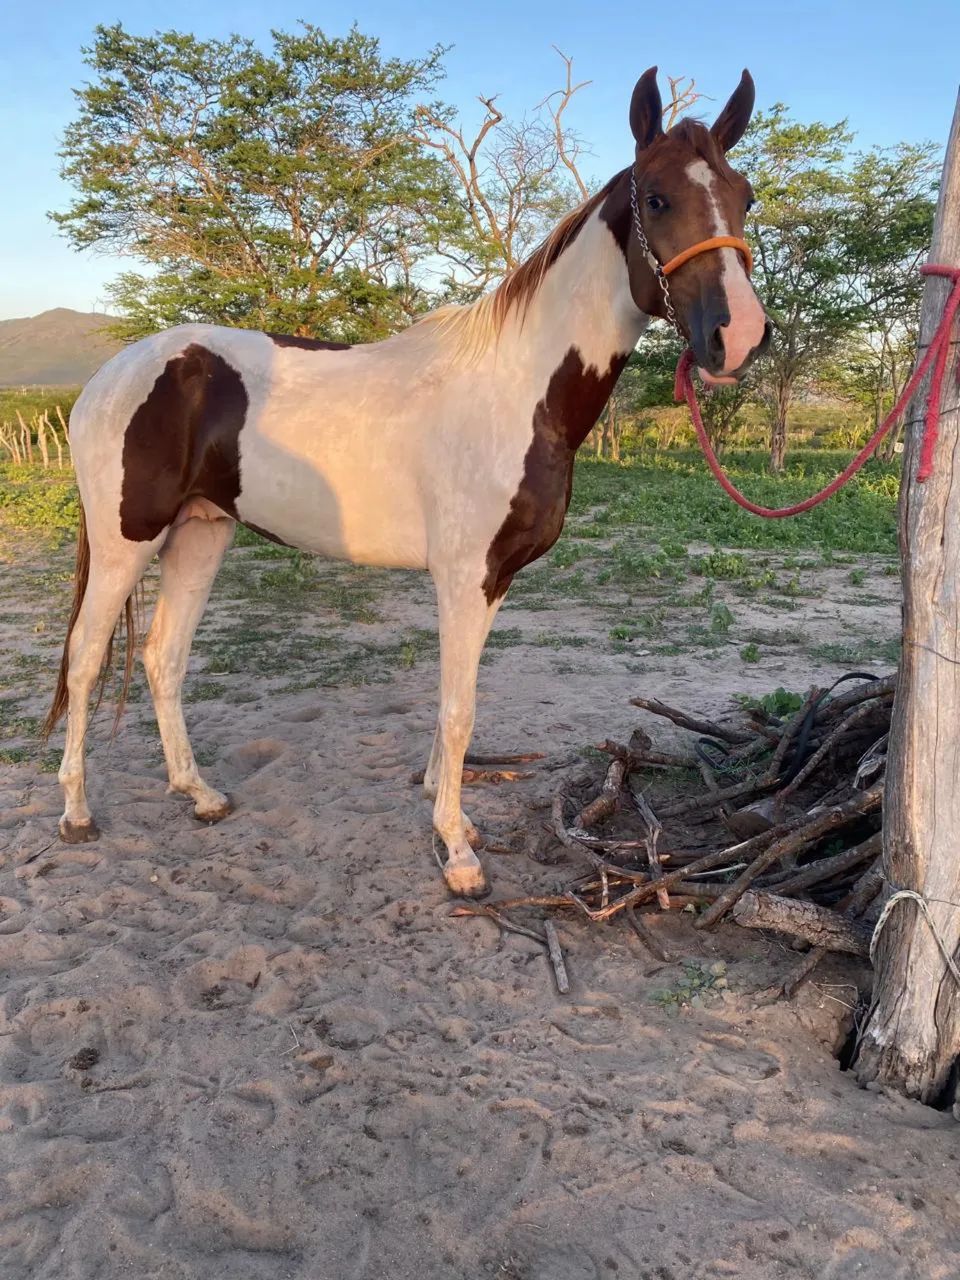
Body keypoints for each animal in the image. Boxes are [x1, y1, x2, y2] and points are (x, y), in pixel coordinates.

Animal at [43, 66, 770, 899]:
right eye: (656, 199)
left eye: (744, 196)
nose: (739, 337)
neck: (517, 389)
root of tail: (108, 378)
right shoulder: (463, 576)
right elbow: (460, 709)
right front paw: (456, 852)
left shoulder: (493, 581)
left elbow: (457, 705)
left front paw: (448, 811)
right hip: (125, 542)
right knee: (85, 657)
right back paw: (76, 814)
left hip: (200, 532)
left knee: (162, 656)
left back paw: (199, 795)